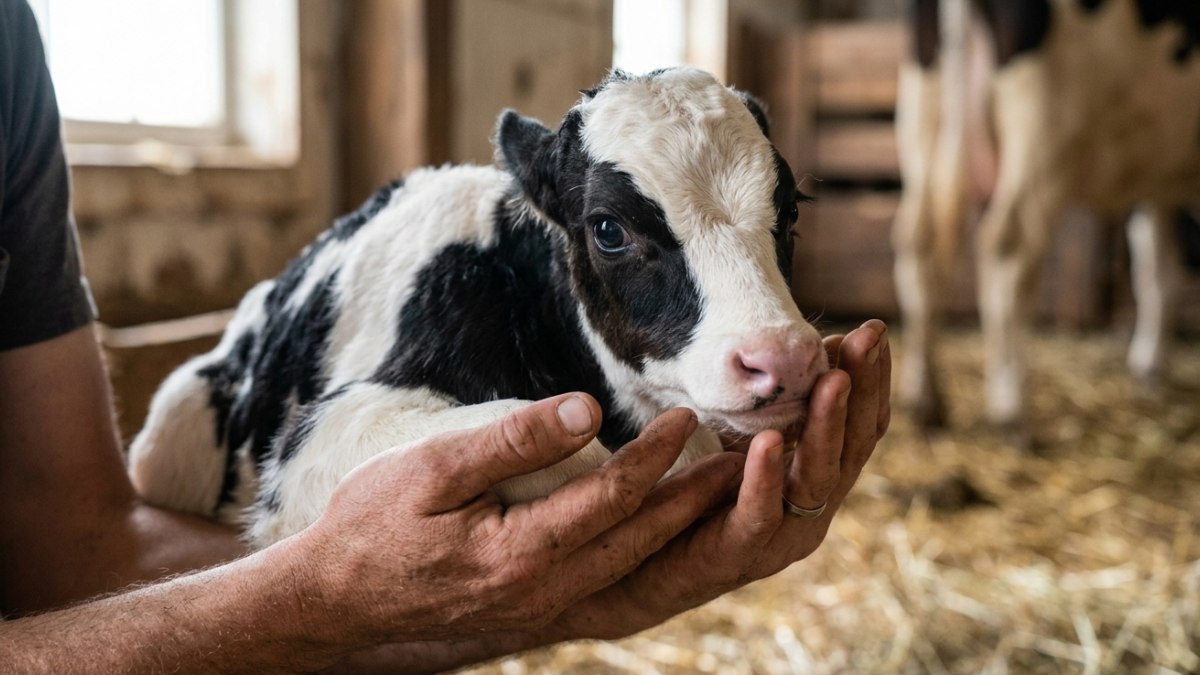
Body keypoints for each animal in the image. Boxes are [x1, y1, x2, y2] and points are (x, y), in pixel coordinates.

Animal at [892, 0, 1200, 434]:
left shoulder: (1157, 185)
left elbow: (1157, 272)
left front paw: (1150, 368)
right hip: (1042, 135)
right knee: (1008, 248)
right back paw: (1010, 408)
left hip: (923, 116)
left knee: (920, 243)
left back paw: (924, 399)